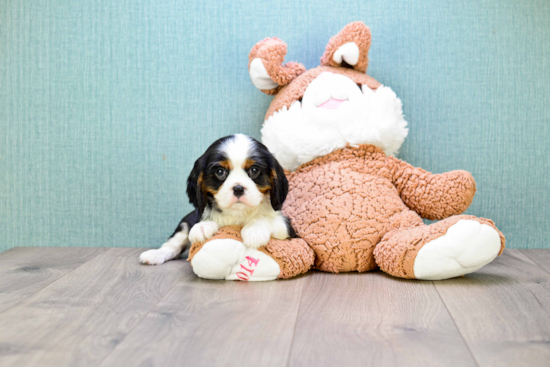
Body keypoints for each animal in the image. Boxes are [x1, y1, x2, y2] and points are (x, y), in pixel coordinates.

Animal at [142, 134, 298, 266]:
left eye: (254, 170)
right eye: (220, 172)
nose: (238, 188)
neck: (237, 213)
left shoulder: (288, 229)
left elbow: (265, 218)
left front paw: (254, 230)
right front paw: (203, 226)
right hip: (185, 222)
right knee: (172, 244)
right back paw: (154, 254)